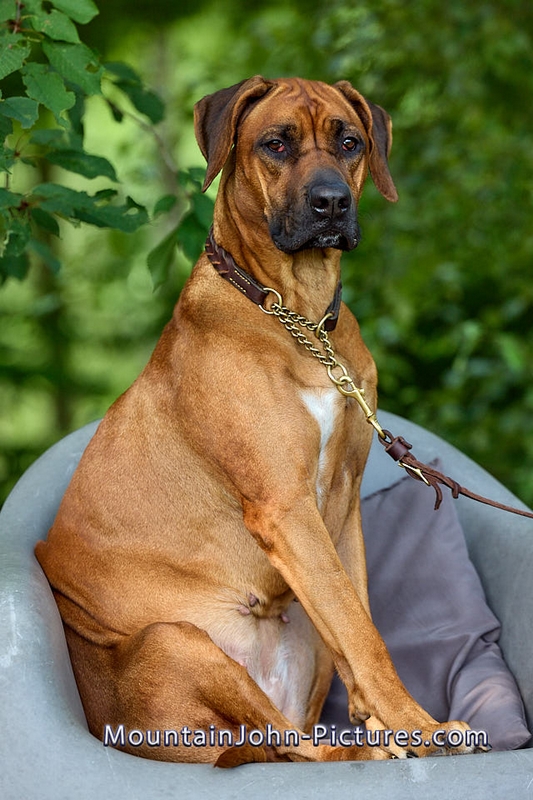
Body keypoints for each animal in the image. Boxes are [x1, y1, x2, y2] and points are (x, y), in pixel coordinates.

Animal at [36, 76, 477, 765]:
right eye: (275, 144)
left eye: (350, 142)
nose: (332, 203)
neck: (298, 319)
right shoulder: (285, 505)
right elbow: (363, 631)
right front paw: (421, 728)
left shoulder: (341, 502)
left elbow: (358, 619)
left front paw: (389, 722)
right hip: (175, 641)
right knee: (287, 748)